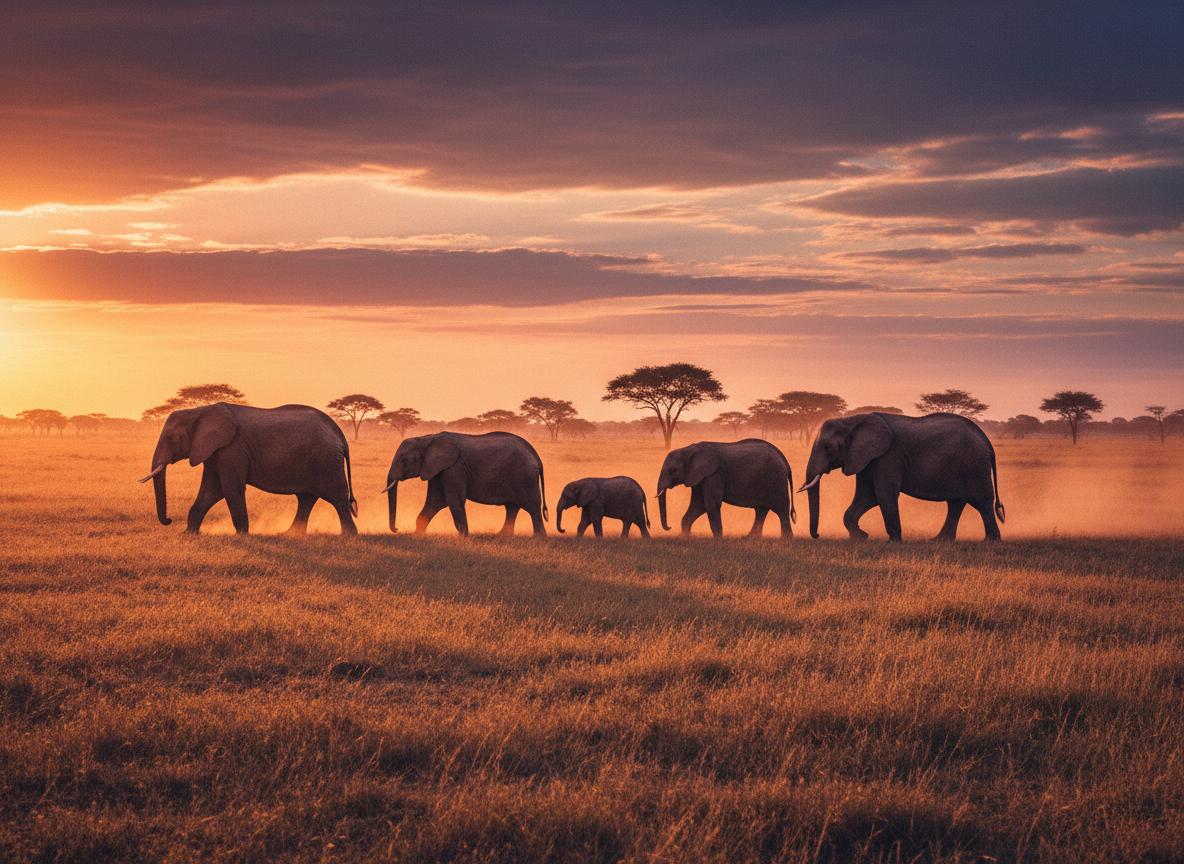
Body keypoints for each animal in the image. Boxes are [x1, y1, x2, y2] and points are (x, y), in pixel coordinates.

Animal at [140, 402, 357, 535]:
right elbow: (211, 491)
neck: (199, 411)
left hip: (327, 461)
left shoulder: (232, 449)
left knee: (337, 497)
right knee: (306, 498)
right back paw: (289, 534)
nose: (168, 520)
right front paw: (188, 534)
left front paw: (242, 536)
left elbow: (229, 488)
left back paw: (348, 537)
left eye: (170, 439)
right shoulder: (215, 451)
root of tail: (339, 434)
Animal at [382, 431, 548, 536]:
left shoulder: (454, 468)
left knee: (532, 507)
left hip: (525, 477)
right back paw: (503, 535)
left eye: (404, 460)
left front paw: (464, 538)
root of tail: (536, 455)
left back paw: (539, 538)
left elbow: (453, 501)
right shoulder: (437, 471)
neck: (427, 438)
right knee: (512, 507)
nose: (397, 529)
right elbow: (434, 502)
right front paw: (417, 535)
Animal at [656, 439, 796, 538]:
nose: (669, 527)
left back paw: (786, 540)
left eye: (673, 470)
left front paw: (718, 540)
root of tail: (785, 462)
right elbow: (698, 505)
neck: (689, 449)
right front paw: (683, 538)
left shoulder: (714, 474)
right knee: (761, 510)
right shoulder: (700, 477)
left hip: (776, 481)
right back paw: (750, 538)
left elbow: (710, 505)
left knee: (781, 510)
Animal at [799, 412, 1004, 542]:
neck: (853, 420)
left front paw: (893, 541)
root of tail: (986, 440)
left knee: (982, 502)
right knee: (956, 503)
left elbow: (883, 494)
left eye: (828, 447)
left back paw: (991, 541)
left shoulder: (888, 456)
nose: (818, 536)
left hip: (974, 466)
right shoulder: (868, 458)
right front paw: (861, 537)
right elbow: (868, 496)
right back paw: (939, 541)